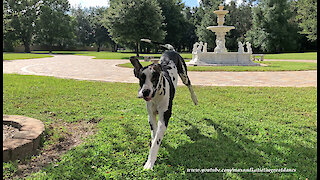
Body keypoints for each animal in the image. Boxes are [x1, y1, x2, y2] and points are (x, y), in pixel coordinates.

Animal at [129, 38, 198, 169]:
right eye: (141, 78)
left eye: (155, 78)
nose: (145, 92)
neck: (156, 97)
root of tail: (171, 51)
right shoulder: (151, 117)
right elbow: (154, 135)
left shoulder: (164, 117)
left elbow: (156, 141)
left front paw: (150, 163)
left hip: (184, 74)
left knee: (190, 85)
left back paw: (195, 99)